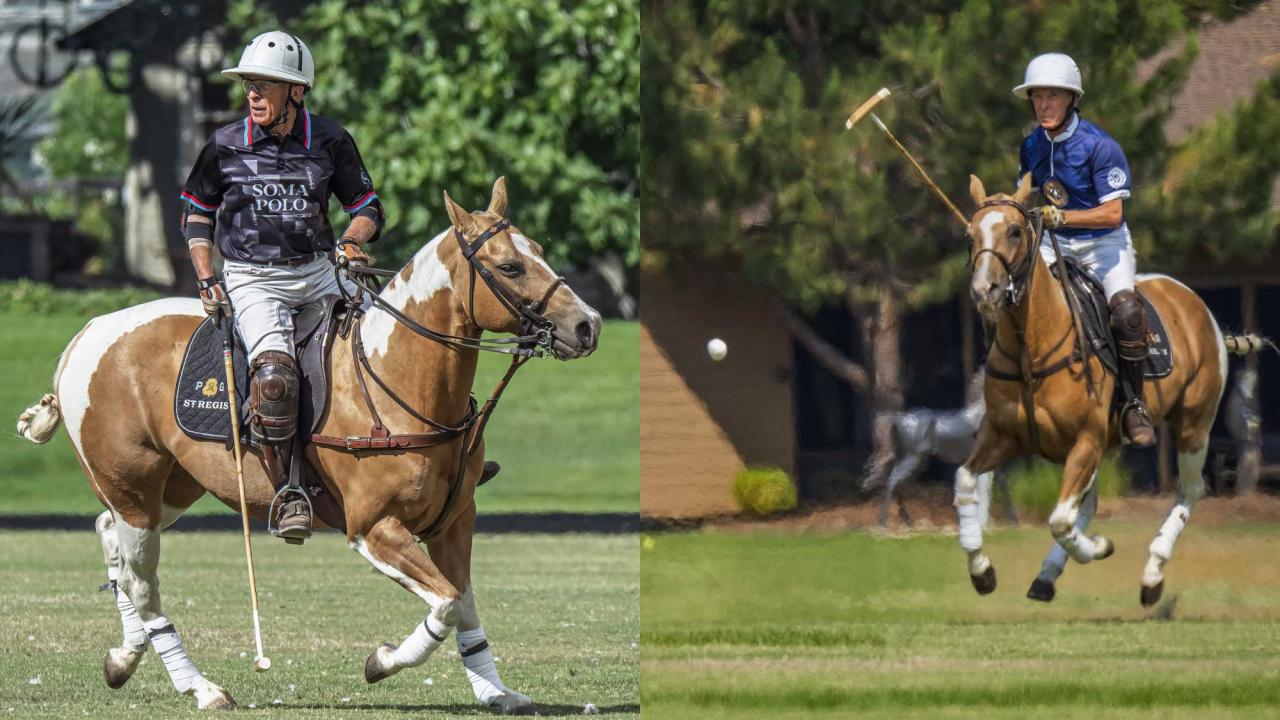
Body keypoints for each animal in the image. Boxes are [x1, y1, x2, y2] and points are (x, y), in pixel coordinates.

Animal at [15, 177, 602, 713]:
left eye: (540, 251)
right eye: (509, 267)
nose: (588, 324)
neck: (398, 377)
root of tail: (87, 332)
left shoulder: (456, 520)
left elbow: (466, 600)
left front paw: (496, 691)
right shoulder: (373, 526)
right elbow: (448, 603)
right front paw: (380, 661)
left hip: (173, 486)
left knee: (109, 534)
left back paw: (124, 656)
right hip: (133, 484)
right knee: (141, 581)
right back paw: (200, 687)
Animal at [957, 173, 1255, 606]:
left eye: (1014, 231)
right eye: (969, 234)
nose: (985, 291)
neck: (1032, 346)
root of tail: (1197, 305)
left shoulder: (1086, 439)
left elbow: (1059, 519)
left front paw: (1098, 547)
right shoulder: (1003, 435)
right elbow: (965, 482)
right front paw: (981, 571)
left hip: (1194, 422)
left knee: (1190, 489)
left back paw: (1152, 575)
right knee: (1090, 502)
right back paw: (1047, 575)